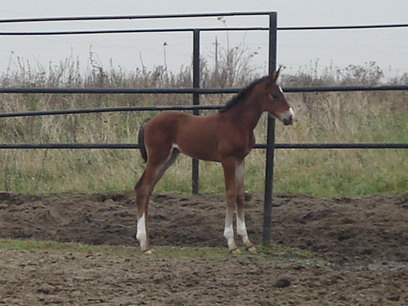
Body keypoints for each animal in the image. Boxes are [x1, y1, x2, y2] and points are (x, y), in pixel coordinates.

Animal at [134, 69, 294, 253]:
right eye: (275, 95)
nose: (290, 117)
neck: (236, 123)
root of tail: (149, 121)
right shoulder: (227, 160)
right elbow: (230, 194)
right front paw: (232, 244)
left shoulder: (240, 160)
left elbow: (240, 195)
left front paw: (247, 243)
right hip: (157, 157)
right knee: (142, 188)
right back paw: (143, 243)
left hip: (169, 158)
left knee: (148, 189)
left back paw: (148, 242)